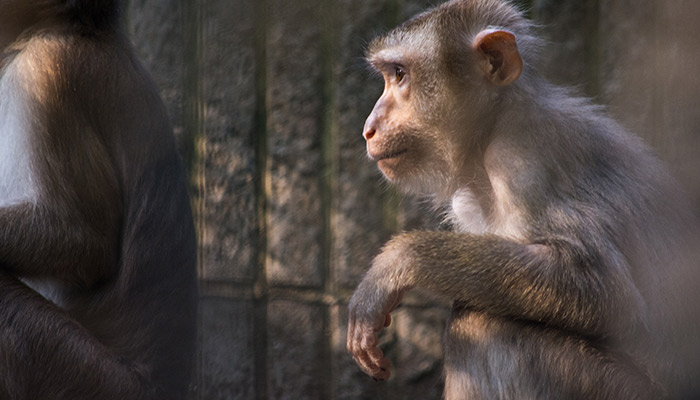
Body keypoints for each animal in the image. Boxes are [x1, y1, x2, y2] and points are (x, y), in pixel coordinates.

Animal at [348, 0, 700, 396]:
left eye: (399, 74)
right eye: (389, 75)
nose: (368, 128)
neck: (494, 126)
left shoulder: (524, 162)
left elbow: (605, 290)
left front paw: (397, 262)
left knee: (483, 323)